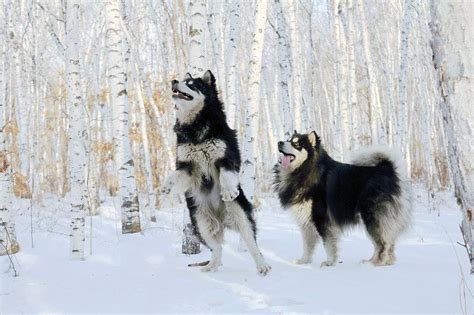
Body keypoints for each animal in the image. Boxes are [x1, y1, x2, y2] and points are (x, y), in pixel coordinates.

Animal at [161, 70, 270, 276]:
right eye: (182, 80)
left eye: (191, 84)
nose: (173, 81)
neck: (195, 127)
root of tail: (220, 217)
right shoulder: (187, 168)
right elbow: (174, 175)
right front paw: (166, 186)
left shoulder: (227, 158)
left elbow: (226, 175)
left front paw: (228, 191)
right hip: (200, 223)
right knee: (217, 248)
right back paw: (211, 266)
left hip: (241, 216)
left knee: (252, 244)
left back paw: (262, 266)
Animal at [274, 131, 412, 266]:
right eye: (288, 140)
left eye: (297, 144)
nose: (279, 142)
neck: (305, 170)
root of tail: (387, 170)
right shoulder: (306, 222)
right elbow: (307, 246)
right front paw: (303, 261)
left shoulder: (321, 219)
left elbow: (328, 245)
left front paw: (329, 262)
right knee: (387, 244)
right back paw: (377, 261)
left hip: (371, 217)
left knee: (383, 244)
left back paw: (376, 263)